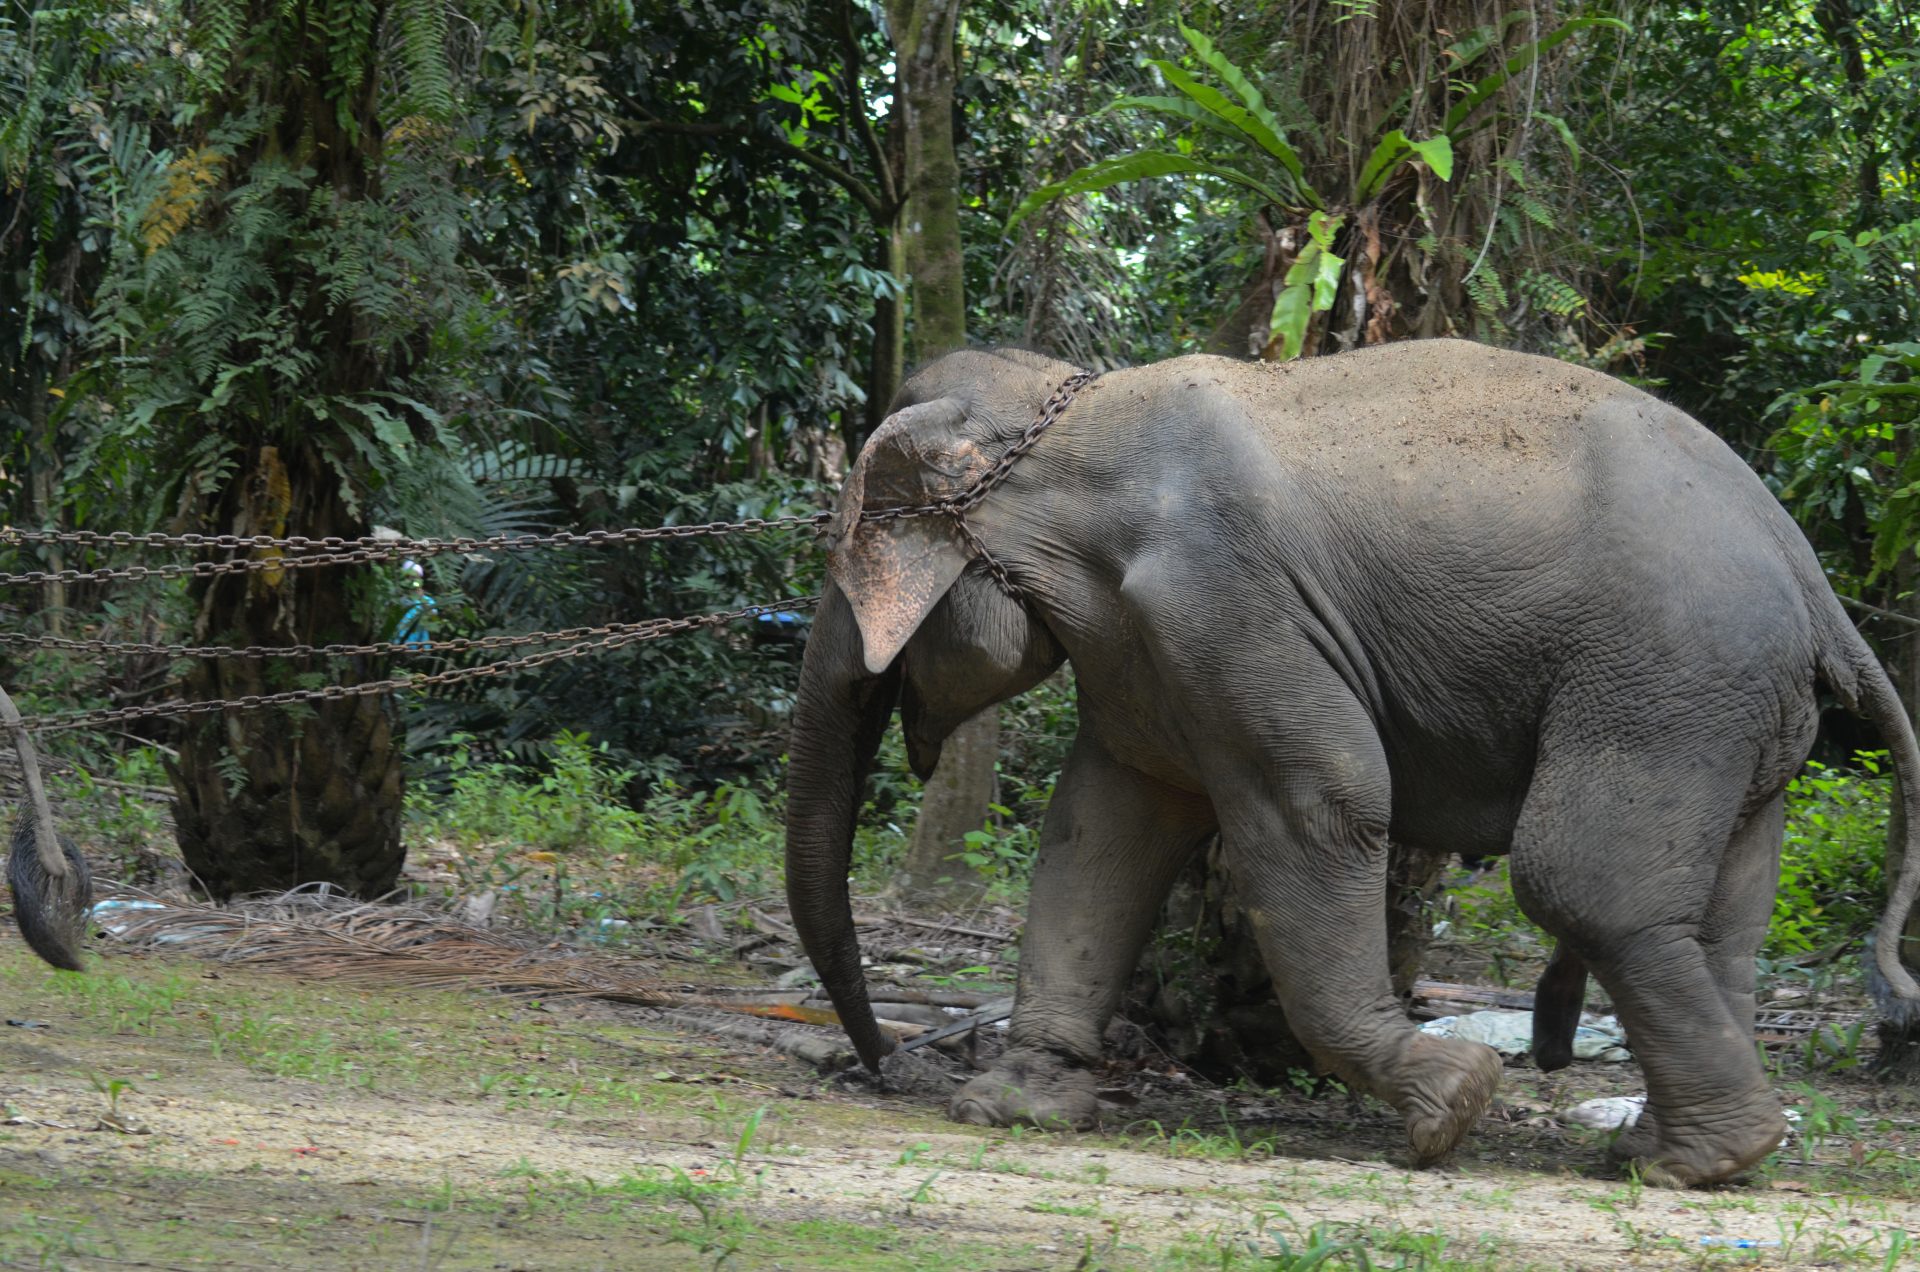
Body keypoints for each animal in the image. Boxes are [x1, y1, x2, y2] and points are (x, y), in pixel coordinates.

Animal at [782, 338, 1920, 1188]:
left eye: (841, 559)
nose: (883, 1068)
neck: (1066, 412)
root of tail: (1812, 579)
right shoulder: (1139, 655)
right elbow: (1100, 833)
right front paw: (1012, 1107)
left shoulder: (1223, 603)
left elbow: (1320, 804)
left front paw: (1449, 1106)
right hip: (1738, 713)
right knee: (1727, 916)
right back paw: (1684, 1148)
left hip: (1666, 676)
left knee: (1581, 886)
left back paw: (1694, 1162)